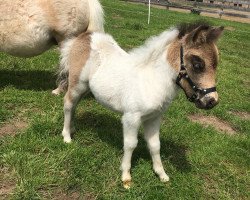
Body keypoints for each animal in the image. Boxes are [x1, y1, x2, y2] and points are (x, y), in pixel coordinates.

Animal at [59, 22, 225, 188]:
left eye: (216, 64)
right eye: (198, 64)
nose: (212, 101)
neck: (151, 80)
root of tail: (87, 35)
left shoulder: (154, 118)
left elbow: (155, 145)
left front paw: (161, 174)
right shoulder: (131, 118)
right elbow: (131, 144)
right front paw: (126, 177)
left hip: (85, 88)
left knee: (74, 106)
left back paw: (72, 129)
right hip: (77, 84)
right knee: (68, 104)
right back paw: (66, 137)